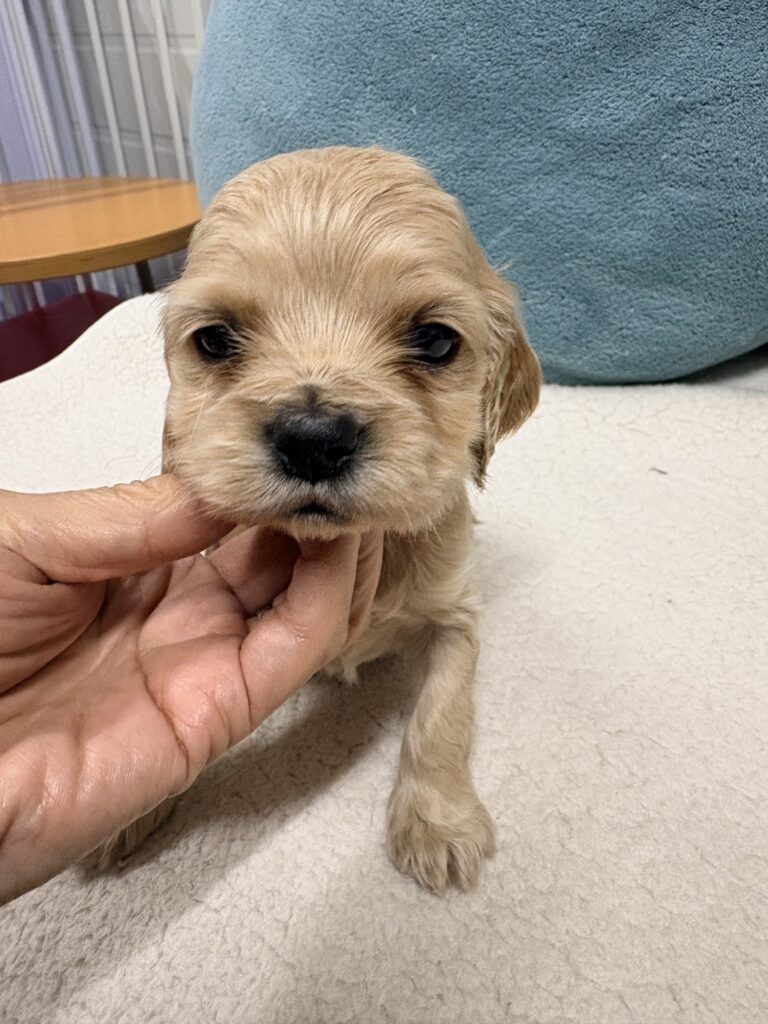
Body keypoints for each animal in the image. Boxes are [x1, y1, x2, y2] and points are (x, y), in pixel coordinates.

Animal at [95, 146, 540, 892]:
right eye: (214, 340)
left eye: (434, 341)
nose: (313, 437)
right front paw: (132, 804)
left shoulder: (456, 614)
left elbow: (442, 713)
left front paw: (438, 823)